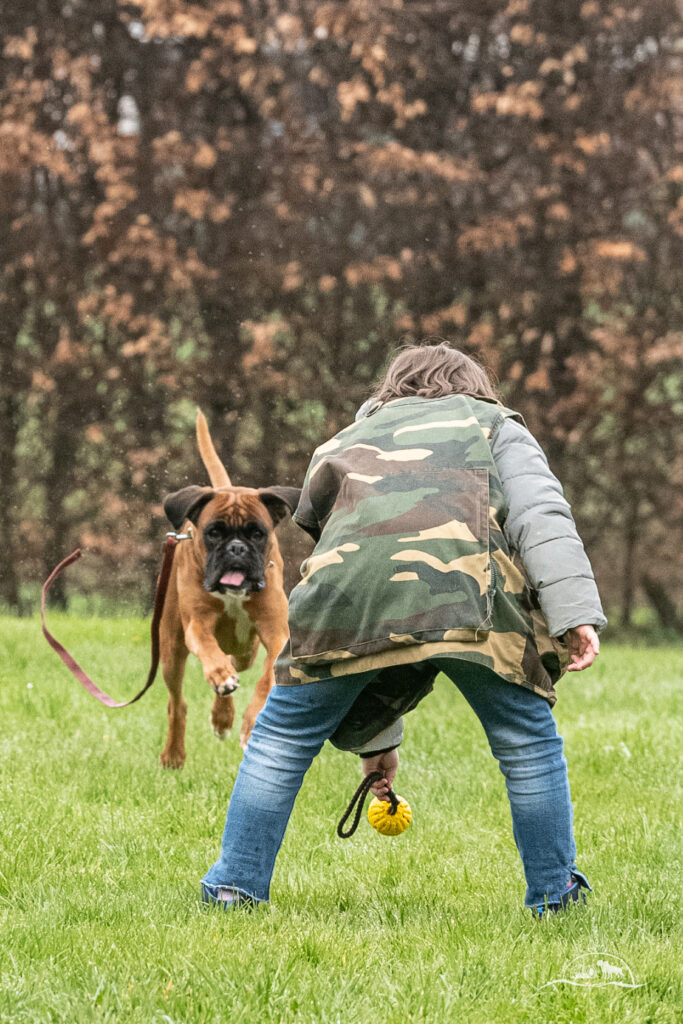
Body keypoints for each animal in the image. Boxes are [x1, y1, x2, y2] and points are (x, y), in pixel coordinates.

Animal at [161, 411, 301, 765]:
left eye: (258, 533)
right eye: (213, 532)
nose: (236, 548)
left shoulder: (276, 633)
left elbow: (266, 680)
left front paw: (250, 724)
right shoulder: (197, 625)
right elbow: (210, 654)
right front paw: (220, 678)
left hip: (245, 650)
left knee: (235, 662)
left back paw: (223, 716)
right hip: (171, 650)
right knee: (177, 702)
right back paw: (175, 753)